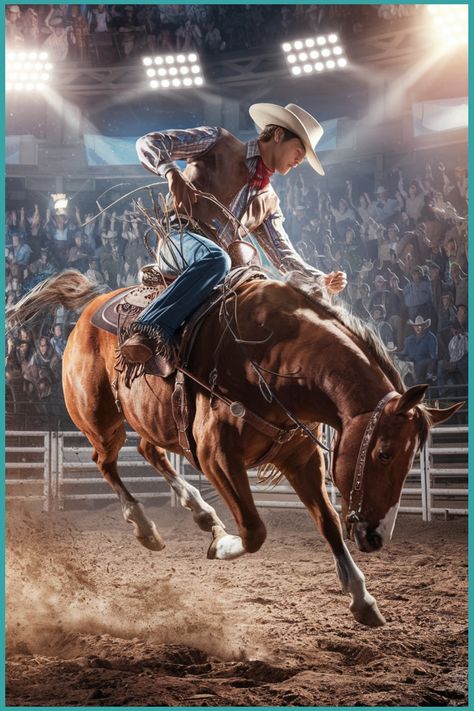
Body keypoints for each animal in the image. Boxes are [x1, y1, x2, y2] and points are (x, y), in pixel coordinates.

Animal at [6, 272, 460, 628]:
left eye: (410, 460)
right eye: (384, 453)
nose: (376, 536)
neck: (274, 357)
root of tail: (88, 311)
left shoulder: (300, 458)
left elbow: (328, 522)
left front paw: (362, 599)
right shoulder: (216, 455)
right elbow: (254, 530)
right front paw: (221, 545)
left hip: (152, 421)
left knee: (150, 451)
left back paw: (203, 514)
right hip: (100, 419)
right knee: (105, 461)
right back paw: (146, 527)